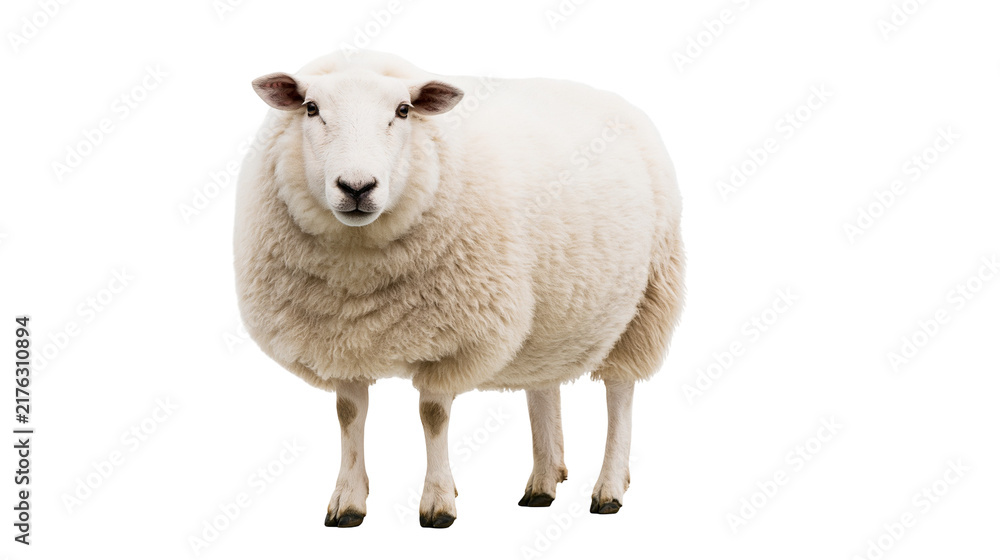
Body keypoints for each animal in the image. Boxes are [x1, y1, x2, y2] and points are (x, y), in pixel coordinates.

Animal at [234, 50, 685, 528]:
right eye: (311, 108)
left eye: (403, 110)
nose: (356, 187)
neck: (359, 273)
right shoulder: (343, 343)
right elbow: (349, 415)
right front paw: (348, 501)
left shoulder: (451, 339)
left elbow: (432, 416)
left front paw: (437, 502)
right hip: (550, 317)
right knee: (543, 385)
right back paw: (543, 483)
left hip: (647, 301)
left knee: (620, 394)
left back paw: (609, 488)